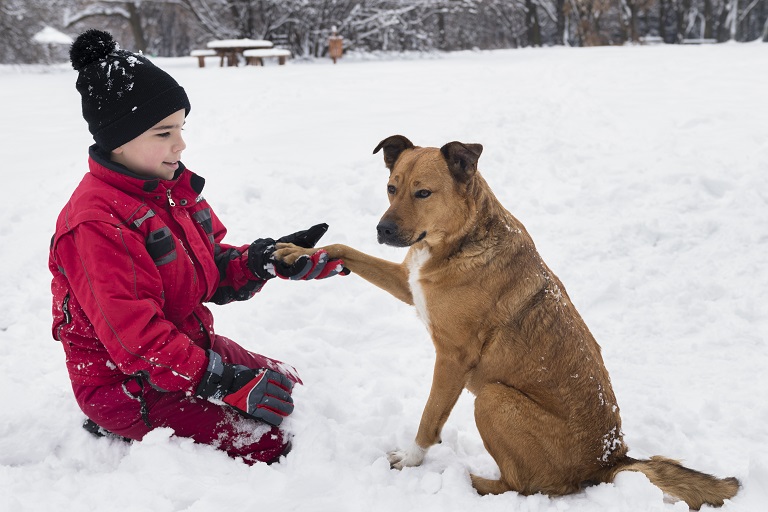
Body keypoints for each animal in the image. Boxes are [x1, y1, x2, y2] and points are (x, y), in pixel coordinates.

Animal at [274, 136, 736, 508]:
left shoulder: (453, 358)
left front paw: (410, 461)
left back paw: (467, 481)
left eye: (423, 193)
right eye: (391, 188)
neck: (456, 241)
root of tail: (609, 459)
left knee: (525, 486)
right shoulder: (410, 285)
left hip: (494, 398)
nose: (383, 229)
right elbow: (343, 248)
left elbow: (428, 418)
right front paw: (298, 252)